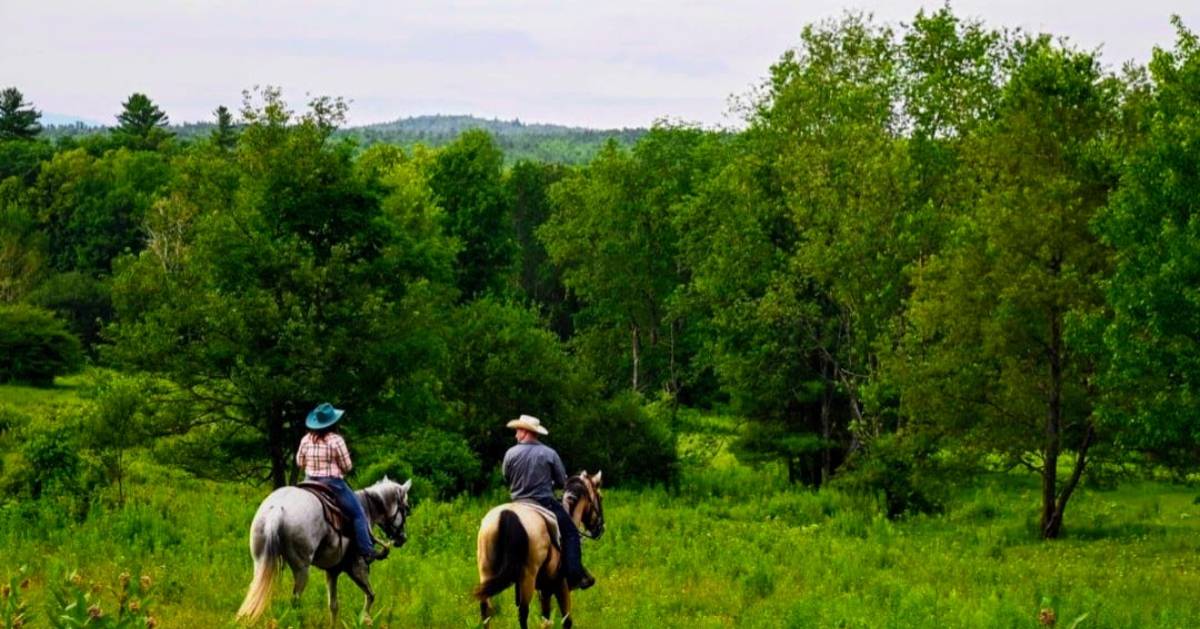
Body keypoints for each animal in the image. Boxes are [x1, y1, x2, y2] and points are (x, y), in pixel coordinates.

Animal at [234, 477, 412, 624]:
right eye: (406, 508)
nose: (402, 538)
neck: (366, 509)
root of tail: (277, 508)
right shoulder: (357, 567)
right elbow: (370, 595)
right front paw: (365, 620)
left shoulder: (332, 571)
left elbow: (333, 605)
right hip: (301, 569)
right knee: (295, 601)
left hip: (260, 562)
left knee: (256, 591)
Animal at [472, 470, 604, 629]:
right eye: (600, 497)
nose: (600, 529)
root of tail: (507, 514)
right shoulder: (560, 584)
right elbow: (566, 620)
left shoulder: (545, 588)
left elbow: (545, 620)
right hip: (528, 576)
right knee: (523, 614)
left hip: (486, 570)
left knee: (485, 611)